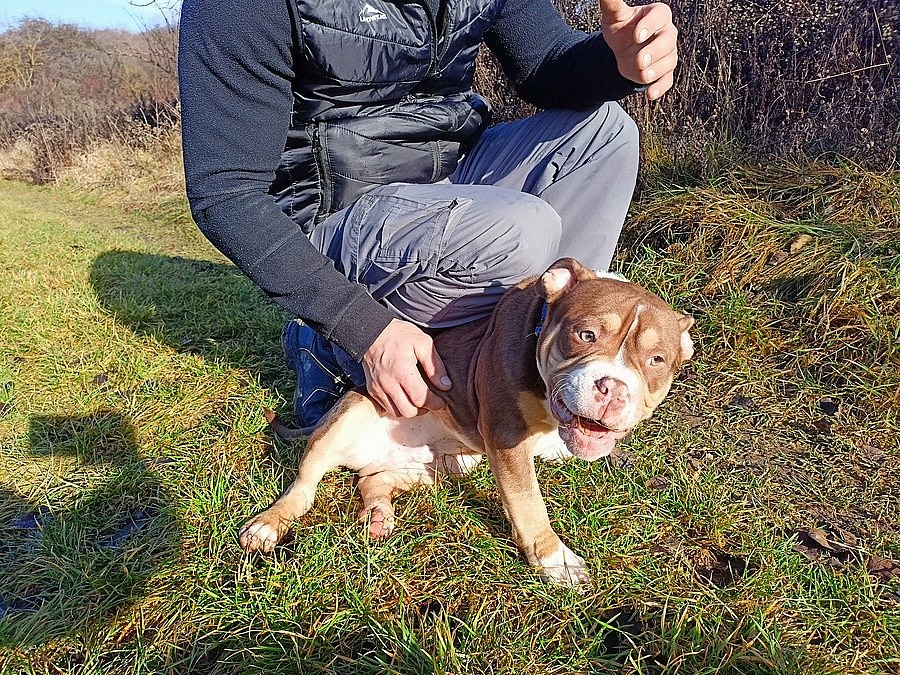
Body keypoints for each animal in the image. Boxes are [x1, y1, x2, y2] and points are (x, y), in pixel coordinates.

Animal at [239, 258, 694, 585]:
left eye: (657, 360)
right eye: (585, 335)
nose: (612, 387)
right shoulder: (507, 439)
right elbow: (529, 504)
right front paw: (555, 560)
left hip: (439, 466)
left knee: (372, 479)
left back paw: (379, 516)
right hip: (350, 414)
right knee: (305, 485)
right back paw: (266, 527)